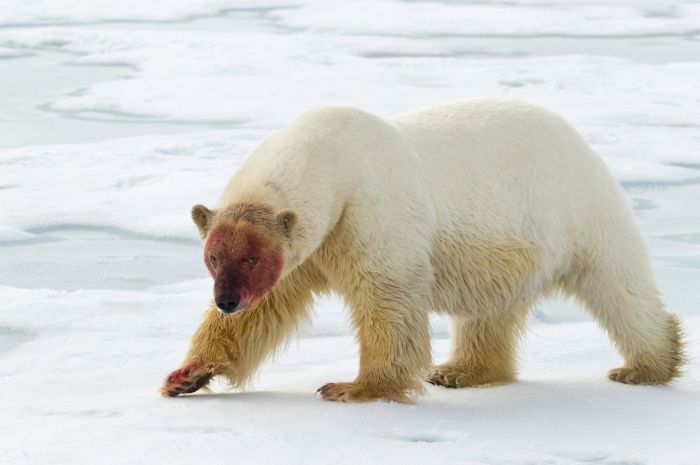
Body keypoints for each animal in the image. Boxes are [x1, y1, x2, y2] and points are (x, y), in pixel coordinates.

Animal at [160, 98, 684, 402]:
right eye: (214, 256)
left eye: (252, 257)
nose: (226, 299)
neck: (331, 161)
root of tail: (579, 140)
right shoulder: (309, 246)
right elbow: (263, 311)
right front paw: (184, 376)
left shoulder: (368, 211)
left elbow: (387, 298)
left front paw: (352, 387)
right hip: (504, 248)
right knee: (488, 310)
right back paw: (459, 371)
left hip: (576, 211)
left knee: (619, 287)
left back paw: (647, 366)